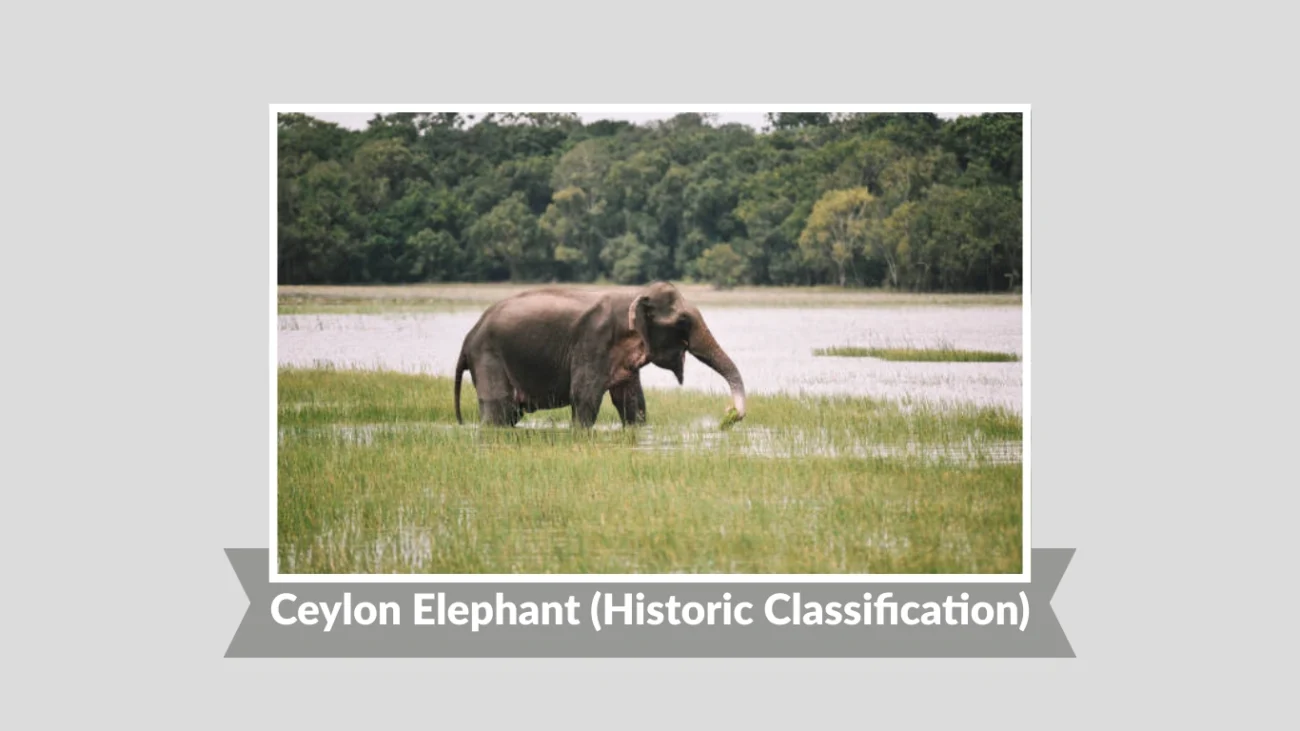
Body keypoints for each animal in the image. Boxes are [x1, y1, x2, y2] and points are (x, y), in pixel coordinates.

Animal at [454, 281, 745, 428]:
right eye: (683, 320)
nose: (732, 415)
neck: (634, 293)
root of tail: (468, 338)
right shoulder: (592, 343)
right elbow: (585, 397)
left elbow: (632, 402)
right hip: (488, 358)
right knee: (498, 409)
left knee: (510, 413)